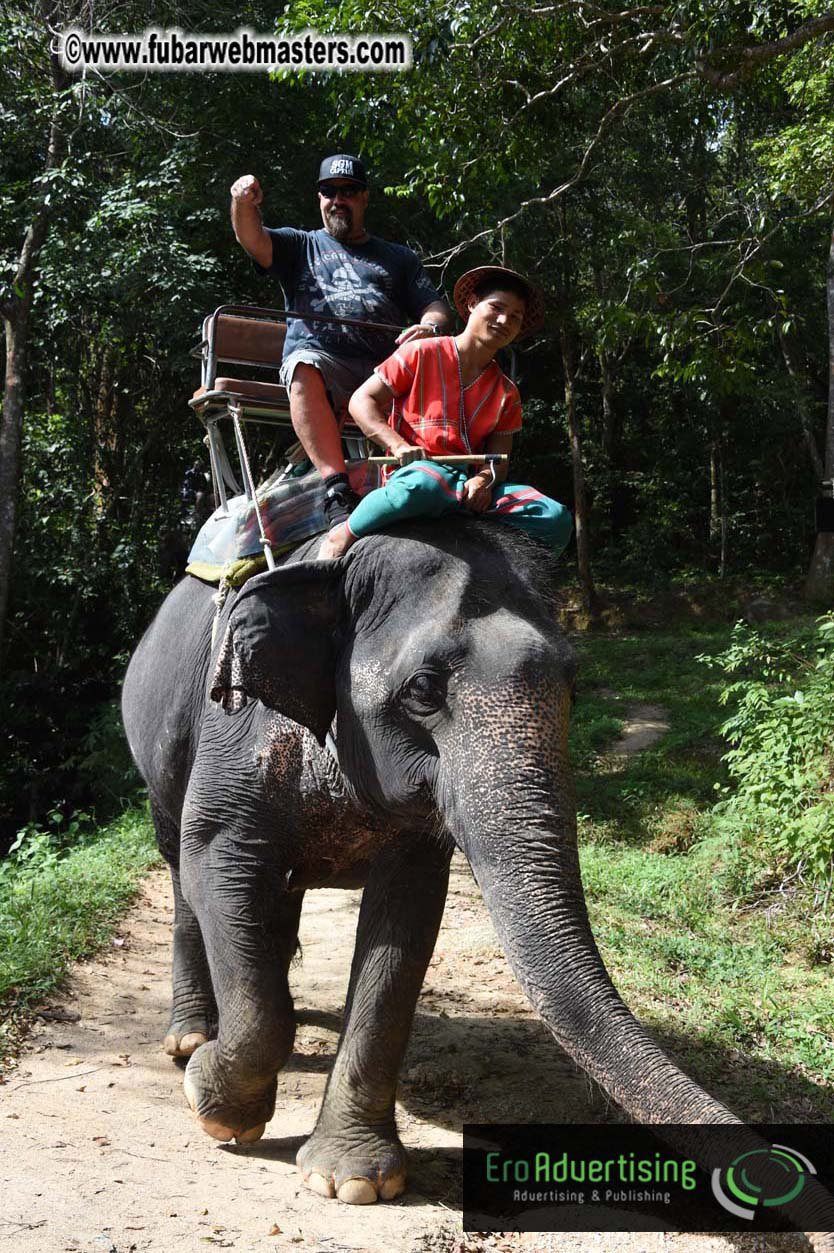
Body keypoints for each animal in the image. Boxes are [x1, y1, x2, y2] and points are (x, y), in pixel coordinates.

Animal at [121, 517, 834, 1242]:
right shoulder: (235, 737)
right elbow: (218, 862)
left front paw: (354, 1181)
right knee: (180, 868)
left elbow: (404, 923)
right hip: (155, 752)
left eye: (573, 683)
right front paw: (213, 1103)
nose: (812, 1210)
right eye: (422, 689)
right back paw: (188, 1040)